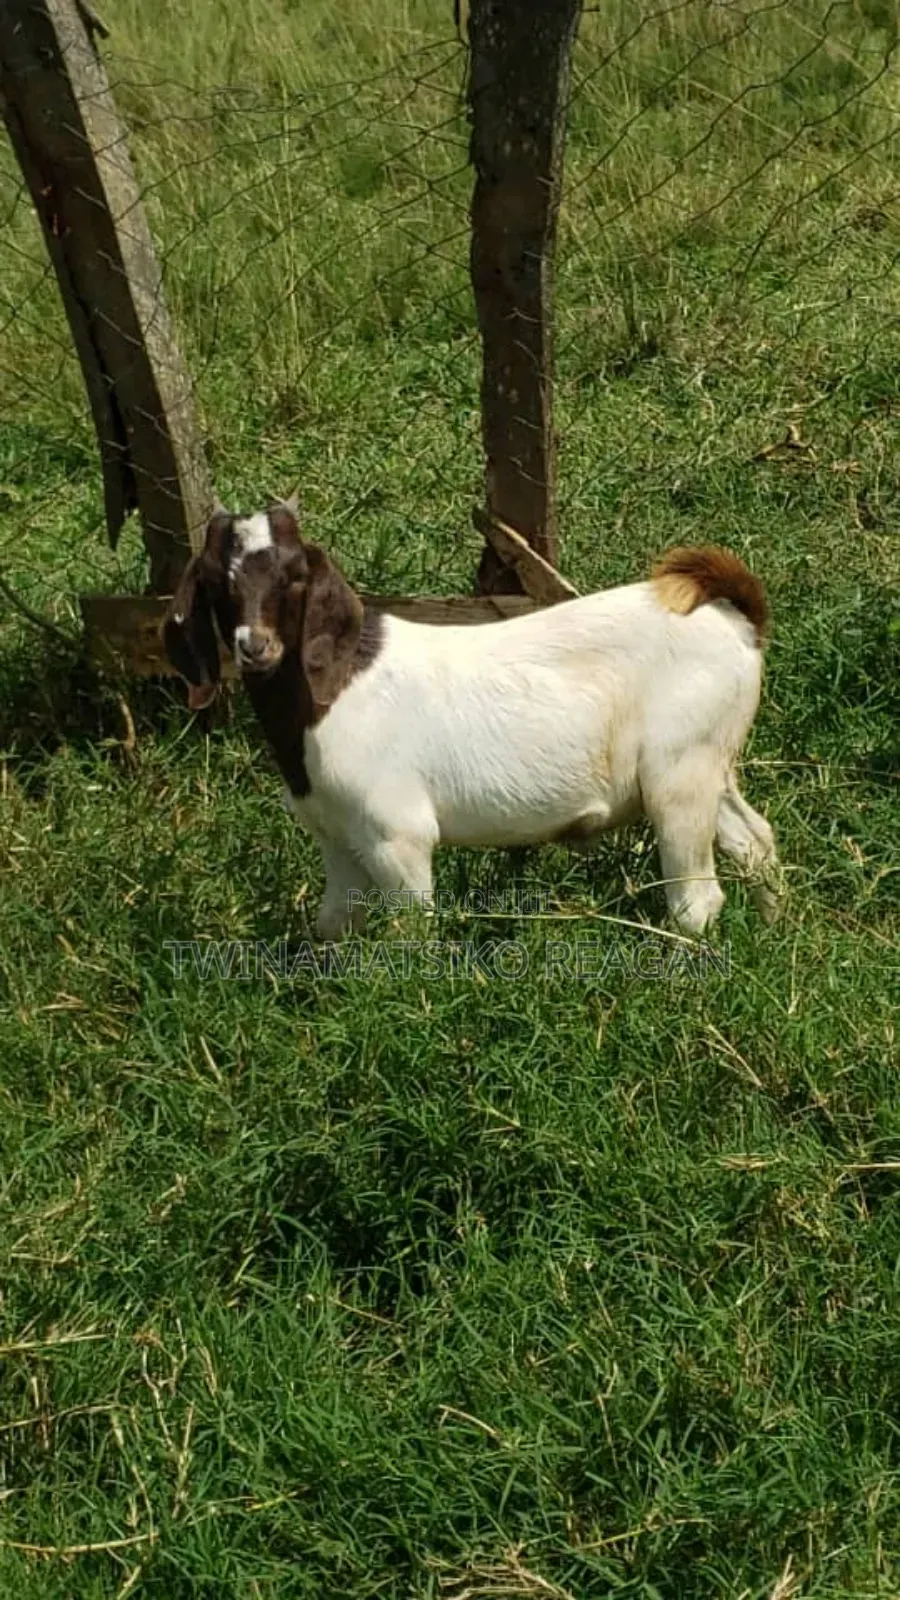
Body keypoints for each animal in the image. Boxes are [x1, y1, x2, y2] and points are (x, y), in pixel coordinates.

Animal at [162, 500, 782, 940]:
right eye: (217, 581)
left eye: (294, 576)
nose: (255, 647)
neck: (334, 687)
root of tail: (733, 619)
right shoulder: (333, 834)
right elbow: (334, 923)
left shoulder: (396, 834)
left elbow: (411, 931)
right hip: (709, 759)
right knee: (754, 840)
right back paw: (776, 931)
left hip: (679, 770)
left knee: (697, 898)